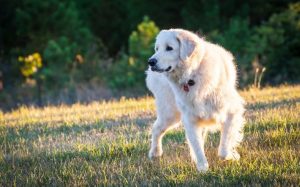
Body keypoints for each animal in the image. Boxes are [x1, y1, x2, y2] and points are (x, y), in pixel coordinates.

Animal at [146, 28, 246, 172]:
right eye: (157, 48)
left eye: (169, 48)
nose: (151, 61)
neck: (191, 76)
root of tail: (149, 72)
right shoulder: (190, 119)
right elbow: (197, 145)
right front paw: (203, 167)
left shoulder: (232, 112)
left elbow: (223, 147)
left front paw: (231, 155)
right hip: (170, 114)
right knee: (156, 128)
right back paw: (155, 152)